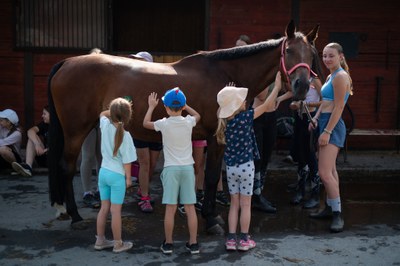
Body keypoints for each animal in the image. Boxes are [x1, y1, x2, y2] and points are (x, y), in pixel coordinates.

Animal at [48, 21, 320, 233]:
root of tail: (67, 62)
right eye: (289, 51)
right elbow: (211, 177)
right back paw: (75, 216)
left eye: (311, 54)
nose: (302, 87)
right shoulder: (216, 138)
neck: (226, 76)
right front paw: (211, 219)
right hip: (76, 131)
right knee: (66, 167)